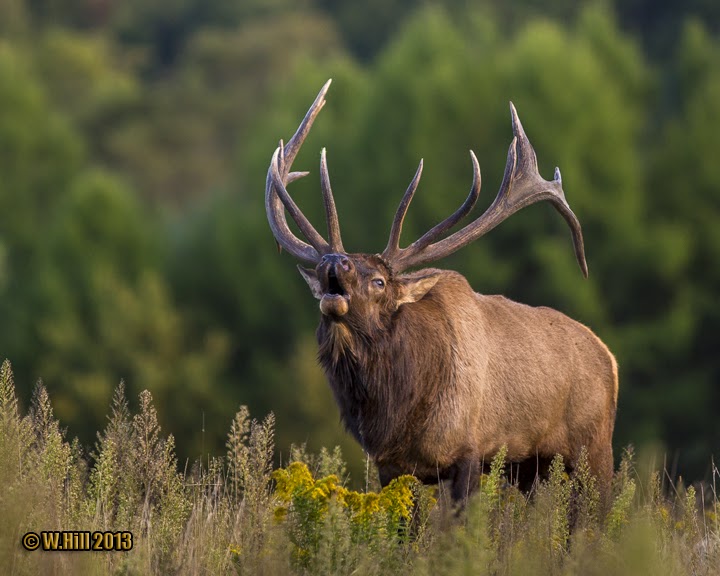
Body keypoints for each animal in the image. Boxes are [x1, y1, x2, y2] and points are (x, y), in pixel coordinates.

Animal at [264, 80, 618, 505]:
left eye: (379, 281)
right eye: (322, 271)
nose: (335, 261)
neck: (399, 412)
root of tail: (610, 358)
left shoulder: (471, 450)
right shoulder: (392, 466)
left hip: (594, 450)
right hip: (531, 468)